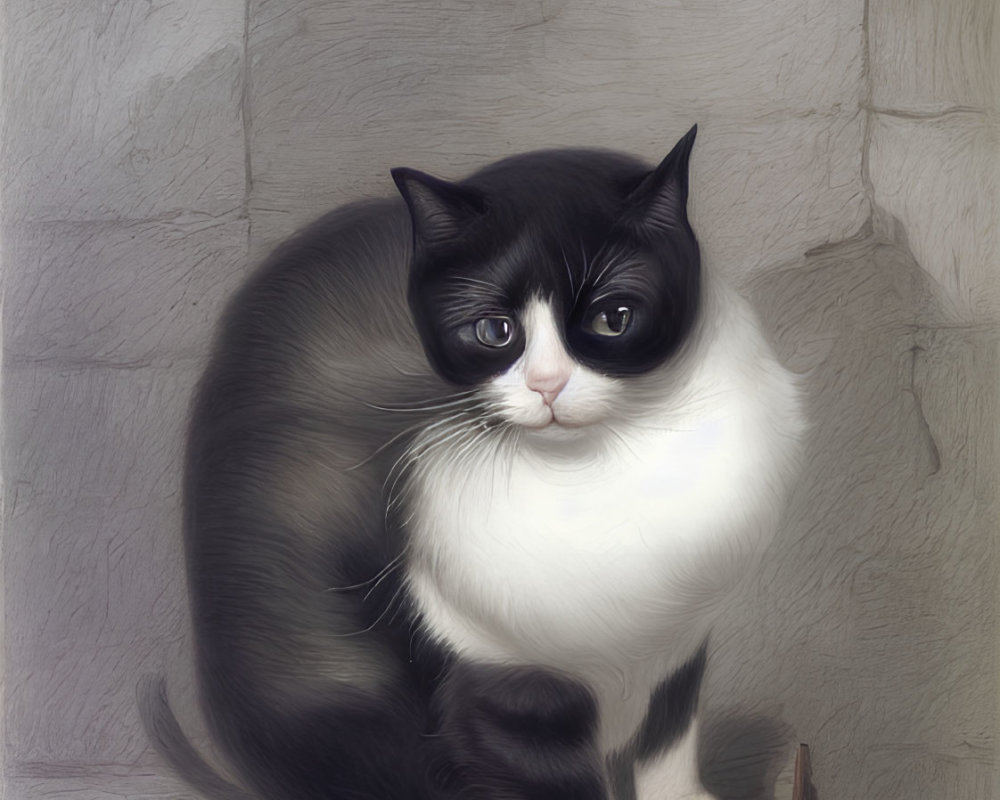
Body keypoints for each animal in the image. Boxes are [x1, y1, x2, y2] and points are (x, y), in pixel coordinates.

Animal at [139, 126, 804, 800]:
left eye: (612, 319)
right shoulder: (508, 684)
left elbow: (666, 750)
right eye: (494, 332)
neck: (596, 481)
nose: (547, 385)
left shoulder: (678, 647)